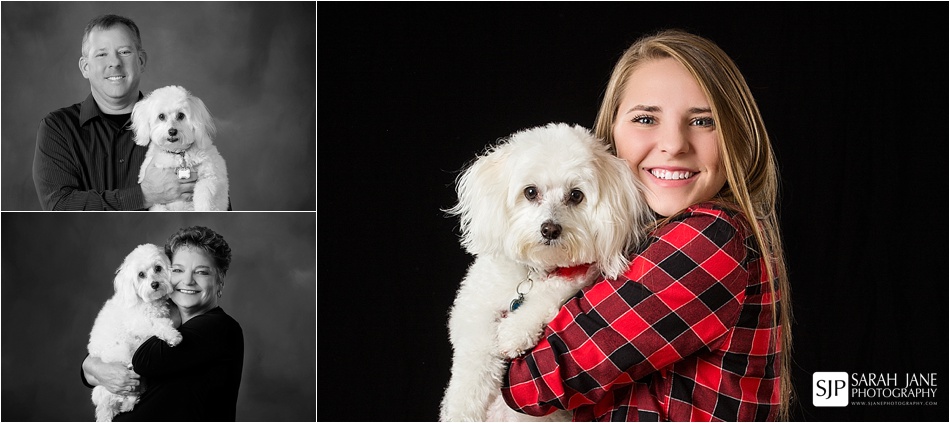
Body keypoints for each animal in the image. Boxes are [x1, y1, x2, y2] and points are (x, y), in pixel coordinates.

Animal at [87, 243, 184, 422]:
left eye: (158, 268)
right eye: (141, 275)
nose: (155, 284)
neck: (147, 302)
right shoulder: (139, 324)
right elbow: (159, 324)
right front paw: (173, 336)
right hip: (121, 353)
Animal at [440, 121, 656, 420]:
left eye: (576, 195)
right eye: (531, 192)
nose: (550, 229)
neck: (535, 271)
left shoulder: (577, 277)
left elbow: (549, 294)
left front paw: (515, 331)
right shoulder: (471, 308)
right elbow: (476, 351)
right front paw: (461, 408)